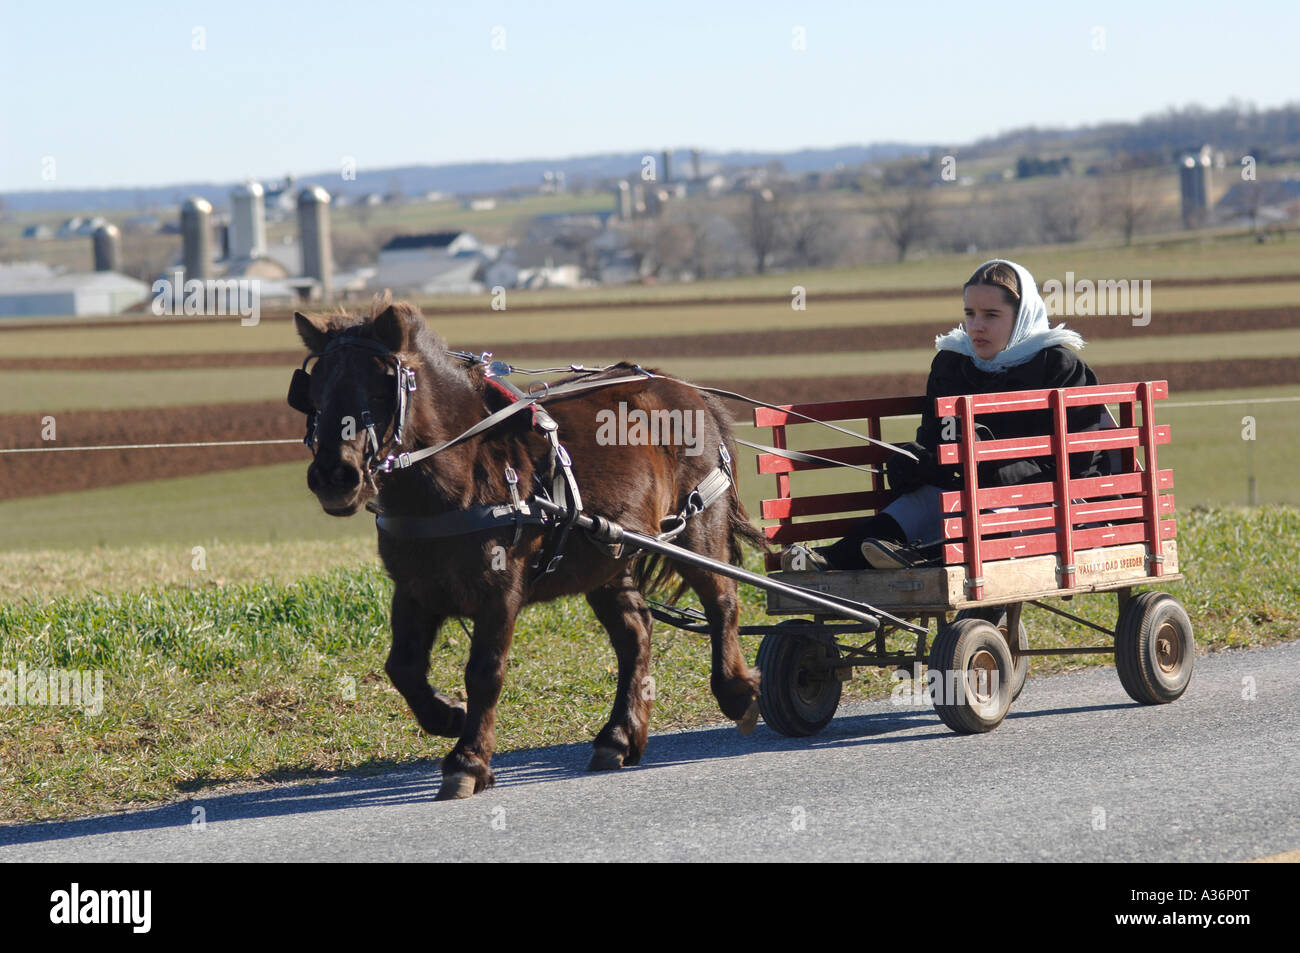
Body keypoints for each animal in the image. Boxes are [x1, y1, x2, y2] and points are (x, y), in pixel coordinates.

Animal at [295, 295, 759, 795]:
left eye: (383, 387)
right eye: (313, 389)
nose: (334, 476)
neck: (463, 470)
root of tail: (686, 389)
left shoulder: (500, 590)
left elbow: (484, 672)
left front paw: (468, 761)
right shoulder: (414, 589)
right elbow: (402, 666)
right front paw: (448, 717)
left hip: (698, 528)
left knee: (721, 601)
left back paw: (737, 693)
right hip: (607, 556)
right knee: (635, 632)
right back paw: (618, 737)